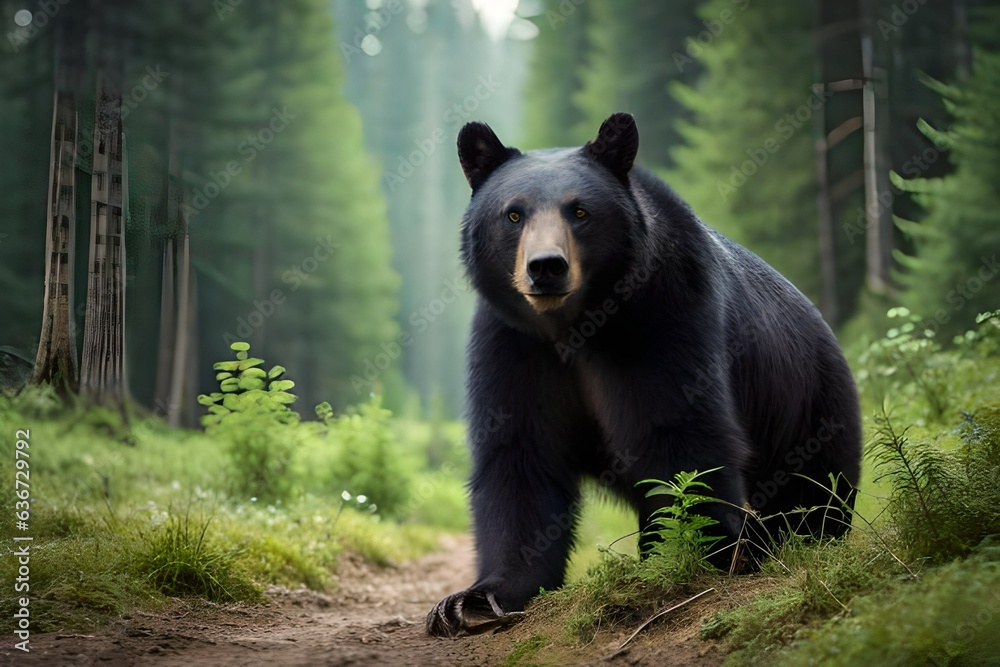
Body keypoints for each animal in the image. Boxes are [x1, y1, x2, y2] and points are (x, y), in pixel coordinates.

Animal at [426, 112, 862, 638]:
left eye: (580, 211)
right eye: (513, 215)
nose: (546, 267)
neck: (576, 327)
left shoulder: (664, 320)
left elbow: (679, 439)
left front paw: (693, 552)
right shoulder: (515, 348)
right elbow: (519, 459)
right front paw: (472, 600)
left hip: (807, 405)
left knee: (814, 491)